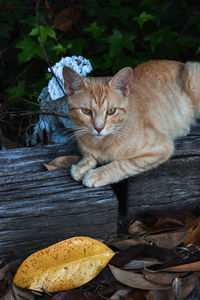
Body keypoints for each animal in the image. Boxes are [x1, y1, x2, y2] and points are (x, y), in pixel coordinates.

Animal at [62, 60, 200, 188]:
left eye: (111, 111)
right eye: (85, 111)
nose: (99, 128)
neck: (99, 144)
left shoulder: (162, 147)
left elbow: (123, 164)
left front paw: (98, 174)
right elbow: (88, 156)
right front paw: (81, 165)